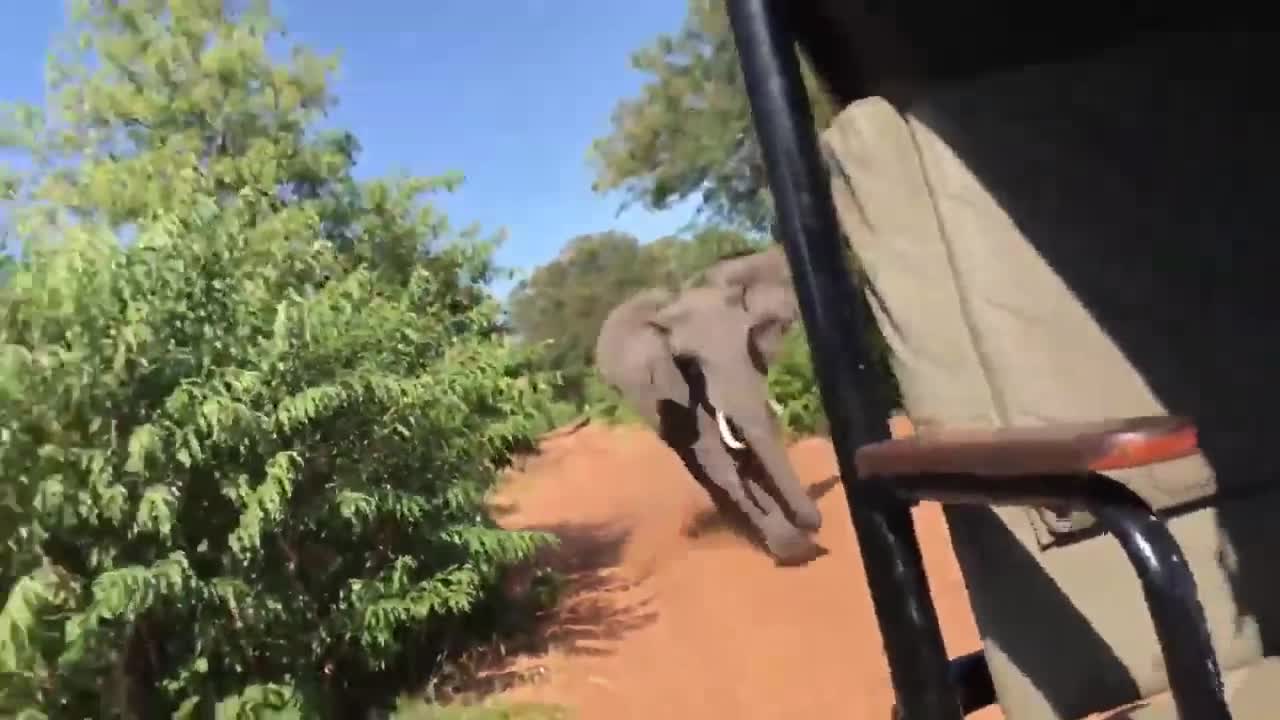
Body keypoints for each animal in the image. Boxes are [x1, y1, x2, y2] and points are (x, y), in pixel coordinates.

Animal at [591, 249, 819, 563]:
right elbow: (714, 455)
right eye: (689, 363)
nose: (812, 525)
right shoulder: (675, 389)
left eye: (749, 340)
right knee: (695, 462)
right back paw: (741, 531)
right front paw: (789, 547)